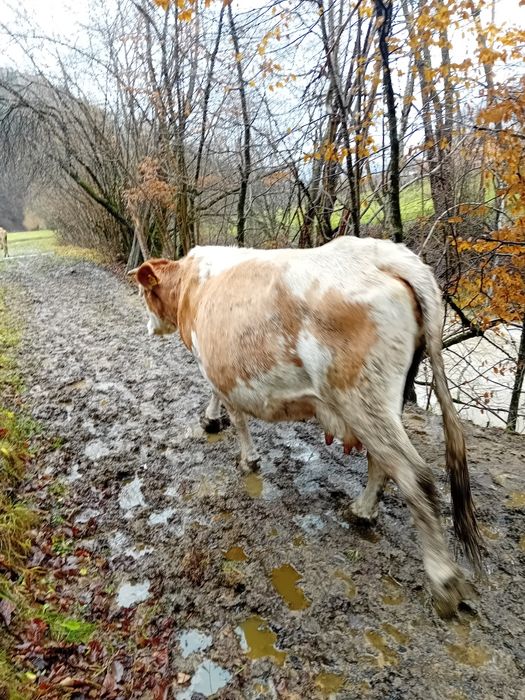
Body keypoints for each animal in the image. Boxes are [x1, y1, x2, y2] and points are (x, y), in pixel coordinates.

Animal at [129, 236, 482, 617]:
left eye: (145, 293)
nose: (148, 327)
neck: (191, 285)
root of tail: (387, 254)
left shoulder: (218, 366)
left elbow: (235, 413)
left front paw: (245, 455)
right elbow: (218, 399)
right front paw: (212, 422)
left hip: (361, 397)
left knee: (415, 476)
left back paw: (443, 582)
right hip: (382, 403)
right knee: (383, 462)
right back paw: (363, 511)